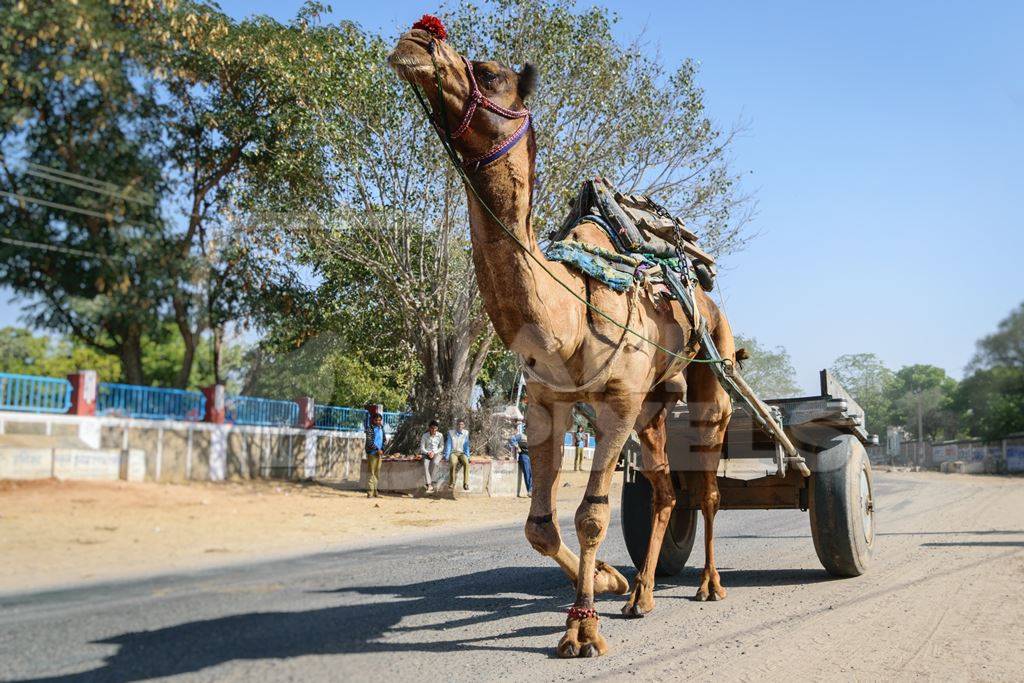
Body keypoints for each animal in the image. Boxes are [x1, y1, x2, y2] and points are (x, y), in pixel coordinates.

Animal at [389, 20, 737, 655]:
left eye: (489, 74)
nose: (418, 38)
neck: (568, 314)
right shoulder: (546, 404)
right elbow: (539, 526)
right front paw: (606, 580)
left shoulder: (617, 400)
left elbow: (592, 514)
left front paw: (581, 629)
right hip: (652, 411)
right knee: (665, 489)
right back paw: (641, 595)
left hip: (709, 377)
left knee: (706, 490)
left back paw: (708, 585)